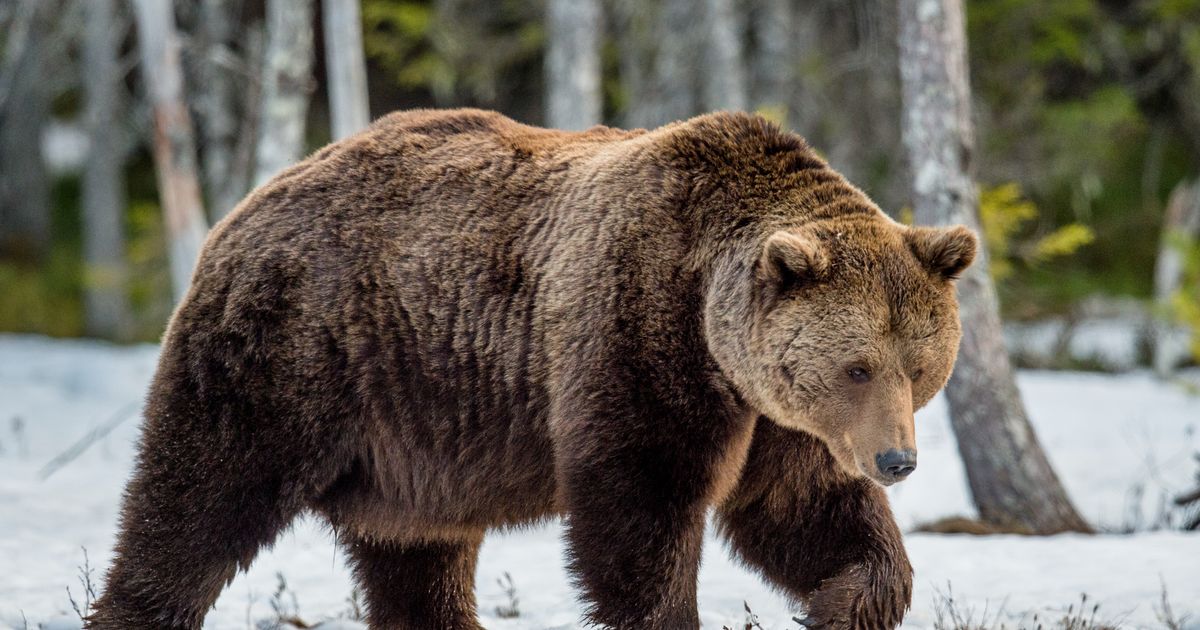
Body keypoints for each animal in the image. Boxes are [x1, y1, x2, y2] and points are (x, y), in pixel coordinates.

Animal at [91, 109, 974, 628]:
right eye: (857, 367)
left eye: (919, 365)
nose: (897, 459)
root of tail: (251, 202)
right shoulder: (633, 336)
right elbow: (639, 515)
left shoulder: (775, 419)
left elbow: (806, 514)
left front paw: (839, 602)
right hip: (289, 357)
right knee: (197, 503)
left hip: (408, 446)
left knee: (415, 558)